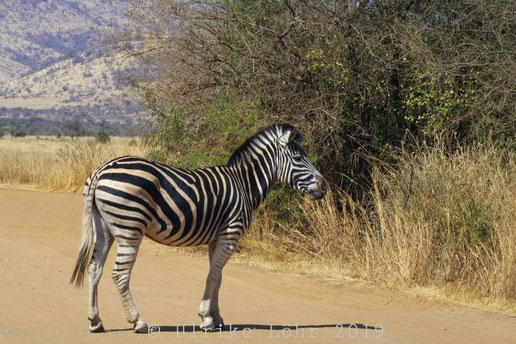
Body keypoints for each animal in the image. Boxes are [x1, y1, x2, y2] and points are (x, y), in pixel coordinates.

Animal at [69, 123, 326, 334]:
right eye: (298, 157)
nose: (324, 186)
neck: (244, 185)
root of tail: (101, 170)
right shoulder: (230, 234)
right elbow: (212, 275)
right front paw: (206, 318)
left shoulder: (217, 237)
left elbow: (218, 277)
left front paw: (217, 317)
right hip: (129, 227)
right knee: (119, 274)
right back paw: (138, 322)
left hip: (103, 227)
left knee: (94, 268)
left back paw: (95, 321)